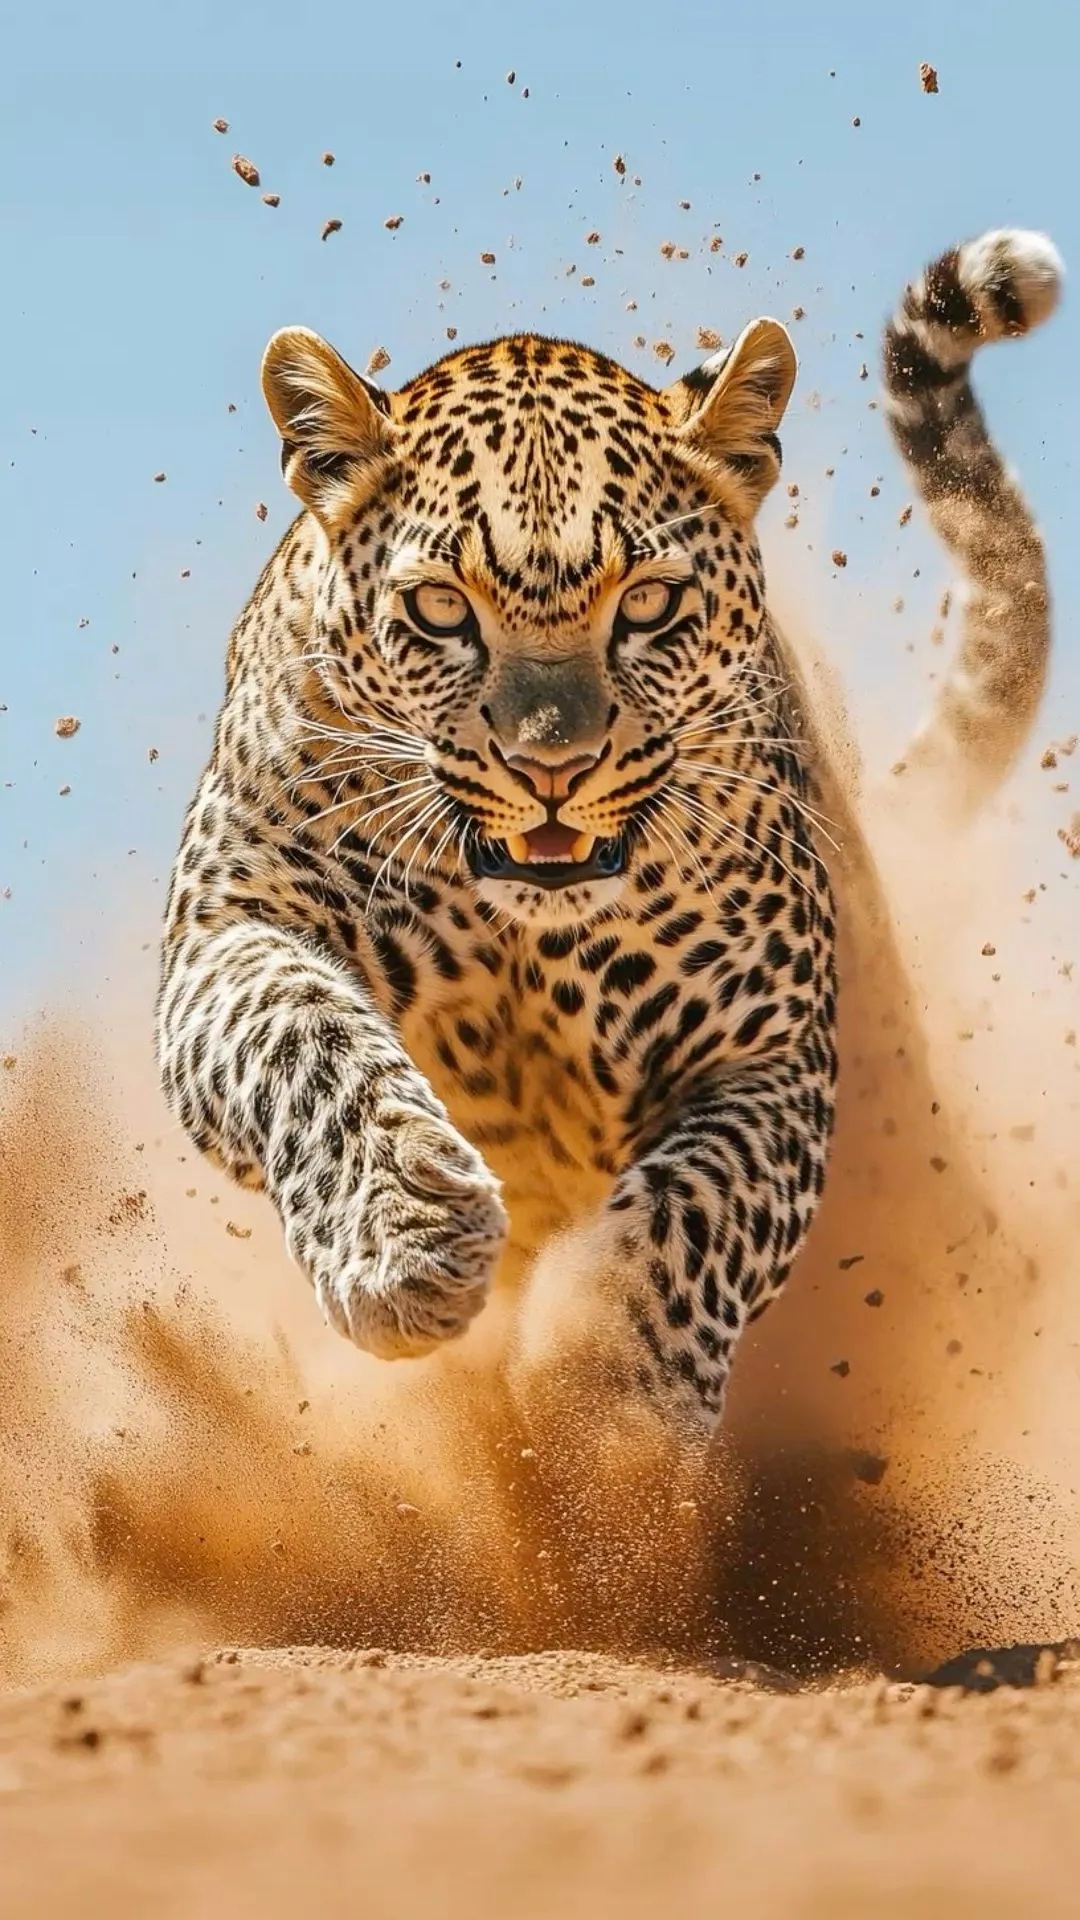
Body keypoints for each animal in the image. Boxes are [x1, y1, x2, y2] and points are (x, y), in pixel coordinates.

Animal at [157, 227, 1061, 1447]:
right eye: (441, 609)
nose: (554, 768)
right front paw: (405, 1233)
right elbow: (299, 1034)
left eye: (647, 605)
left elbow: (697, 1206)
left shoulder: (771, 1048)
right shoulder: (226, 926)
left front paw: (604, 1400)